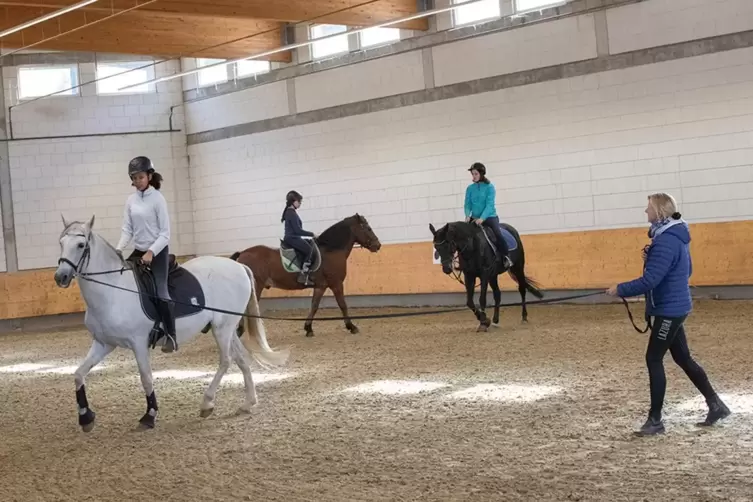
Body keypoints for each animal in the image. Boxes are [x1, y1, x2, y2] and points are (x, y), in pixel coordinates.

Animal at [54, 216, 290, 432]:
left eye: (81, 245)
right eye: (61, 242)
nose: (60, 277)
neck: (113, 291)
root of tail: (239, 266)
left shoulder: (138, 343)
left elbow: (146, 378)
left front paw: (149, 415)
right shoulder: (104, 343)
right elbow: (78, 374)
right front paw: (85, 417)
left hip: (222, 329)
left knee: (226, 360)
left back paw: (207, 403)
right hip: (227, 327)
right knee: (241, 358)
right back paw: (248, 403)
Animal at [229, 213, 382, 338]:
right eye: (367, 228)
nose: (378, 245)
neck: (331, 250)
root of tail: (243, 253)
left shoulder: (320, 286)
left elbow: (314, 306)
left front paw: (308, 328)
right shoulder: (336, 284)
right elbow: (343, 305)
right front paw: (351, 326)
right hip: (256, 286)